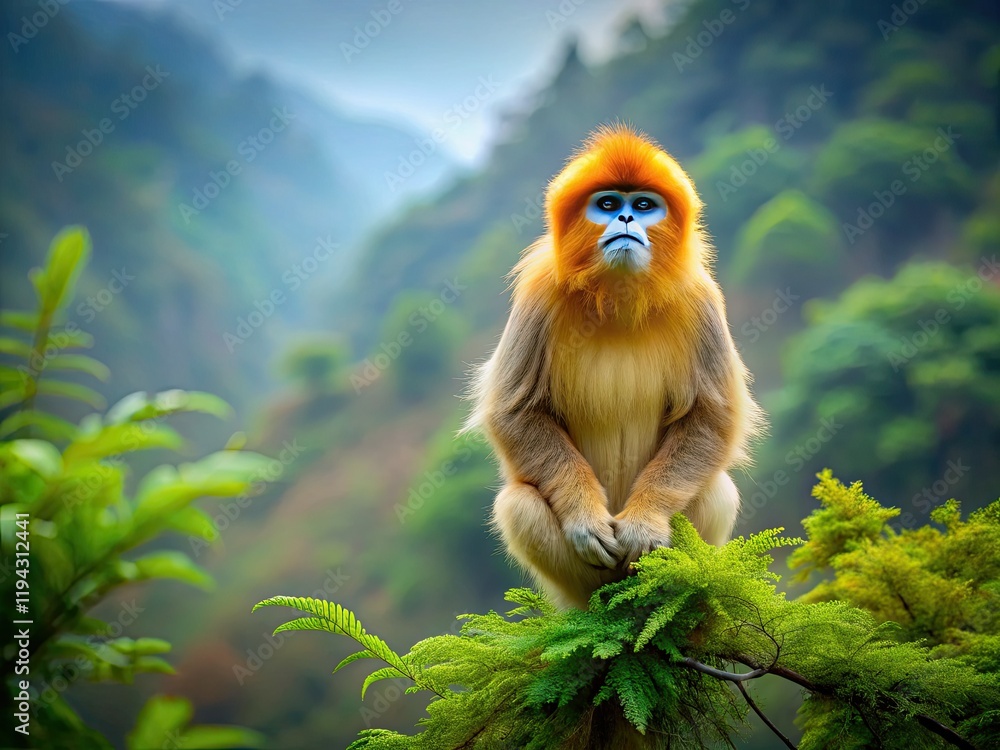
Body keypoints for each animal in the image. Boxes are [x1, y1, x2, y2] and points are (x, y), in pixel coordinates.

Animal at [465, 125, 763, 610]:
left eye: (642, 205)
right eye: (607, 204)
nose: (624, 219)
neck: (619, 294)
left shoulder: (700, 298)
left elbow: (712, 416)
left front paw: (645, 523)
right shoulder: (538, 292)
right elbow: (515, 412)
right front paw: (585, 521)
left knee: (716, 489)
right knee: (519, 504)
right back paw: (599, 607)